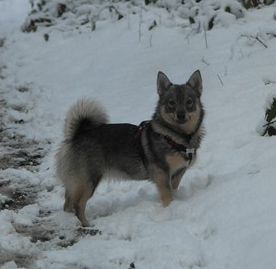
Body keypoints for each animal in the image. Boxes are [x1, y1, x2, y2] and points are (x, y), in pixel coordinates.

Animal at [55, 70, 205, 225]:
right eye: (171, 103)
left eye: (189, 102)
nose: (181, 115)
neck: (178, 137)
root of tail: (77, 134)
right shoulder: (162, 174)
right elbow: (167, 196)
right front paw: (169, 209)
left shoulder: (178, 173)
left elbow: (173, 190)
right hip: (88, 182)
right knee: (78, 206)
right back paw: (87, 225)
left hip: (77, 183)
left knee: (68, 204)